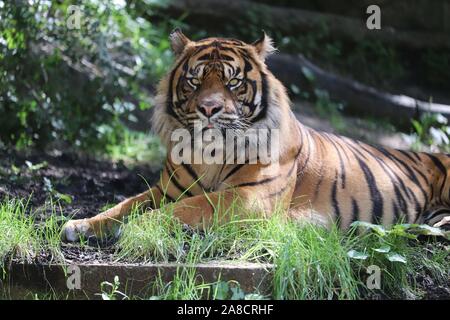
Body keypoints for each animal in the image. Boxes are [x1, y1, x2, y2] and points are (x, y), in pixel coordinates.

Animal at [62, 29, 450, 242]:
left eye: (233, 81)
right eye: (194, 80)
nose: (209, 108)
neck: (210, 154)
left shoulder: (248, 198)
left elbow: (186, 209)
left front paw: (140, 228)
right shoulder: (166, 190)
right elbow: (123, 205)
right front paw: (81, 225)